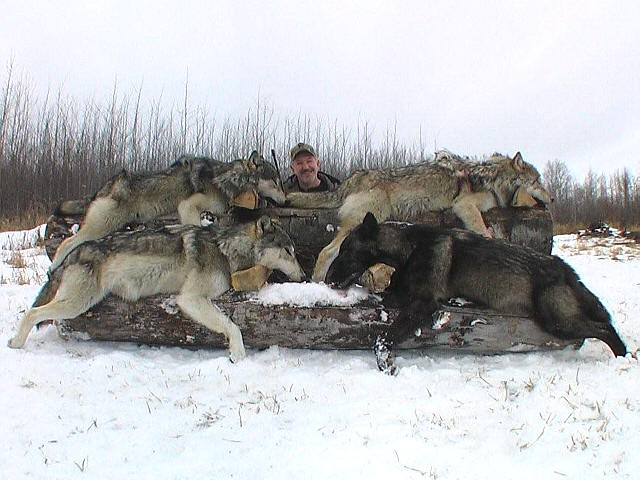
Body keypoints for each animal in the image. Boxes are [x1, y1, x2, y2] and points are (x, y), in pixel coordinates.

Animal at [9, 216, 305, 362]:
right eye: (288, 251)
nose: (303, 276)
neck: (225, 248)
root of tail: (74, 253)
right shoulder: (190, 298)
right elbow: (233, 327)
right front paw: (238, 355)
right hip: (76, 304)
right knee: (32, 312)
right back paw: (15, 344)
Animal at [49, 151, 285, 271]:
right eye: (275, 181)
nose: (284, 199)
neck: (228, 180)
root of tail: (107, 184)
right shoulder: (187, 207)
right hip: (101, 225)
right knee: (66, 243)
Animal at [286, 151, 553, 281]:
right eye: (538, 182)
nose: (552, 199)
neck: (496, 179)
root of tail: (355, 176)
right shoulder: (464, 205)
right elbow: (483, 230)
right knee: (327, 252)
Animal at [326, 213, 627, 374]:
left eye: (346, 251)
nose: (328, 280)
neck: (410, 248)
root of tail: (564, 268)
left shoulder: (422, 302)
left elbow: (384, 338)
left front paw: (385, 361)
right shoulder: (397, 294)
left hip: (558, 321)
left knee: (604, 327)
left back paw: (623, 356)